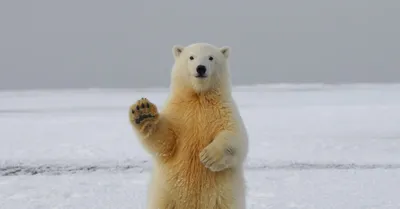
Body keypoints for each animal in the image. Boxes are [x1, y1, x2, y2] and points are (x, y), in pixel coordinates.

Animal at [129, 42, 247, 209]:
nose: (201, 68)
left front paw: (208, 156)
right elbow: (165, 142)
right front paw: (143, 112)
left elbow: (235, 136)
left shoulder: (224, 110)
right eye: (191, 57)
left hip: (224, 199)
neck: (198, 97)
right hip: (165, 197)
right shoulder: (178, 113)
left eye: (211, 57)